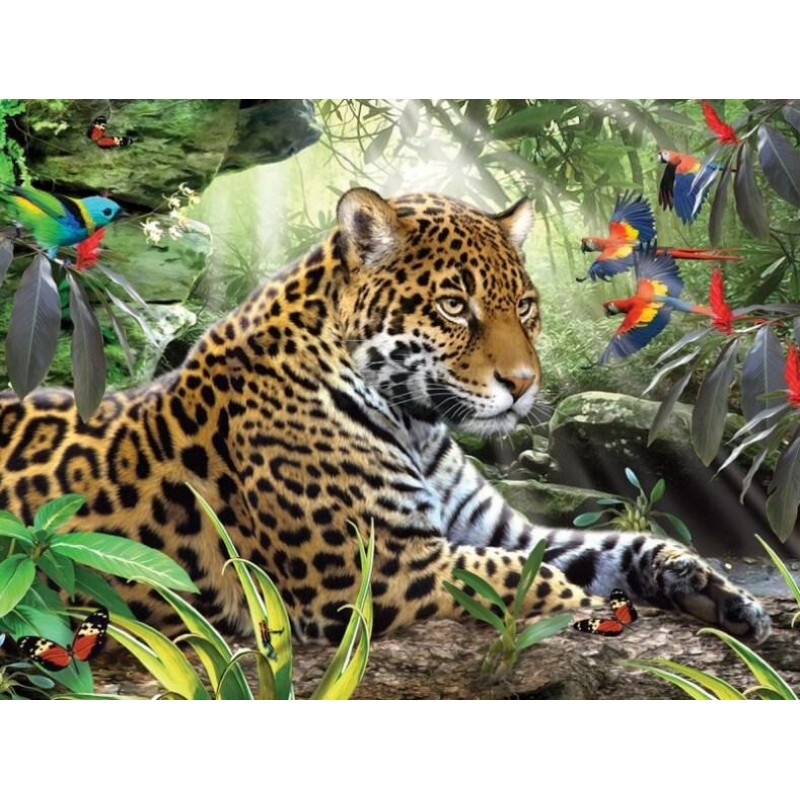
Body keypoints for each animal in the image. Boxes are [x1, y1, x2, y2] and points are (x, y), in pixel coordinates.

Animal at [0, 187, 771, 645]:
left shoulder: (499, 530)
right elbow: (525, 578)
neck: (419, 422)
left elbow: (615, 547)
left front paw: (720, 594)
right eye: (454, 306)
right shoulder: (374, 569)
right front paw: (596, 610)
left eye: (525, 306)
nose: (524, 384)